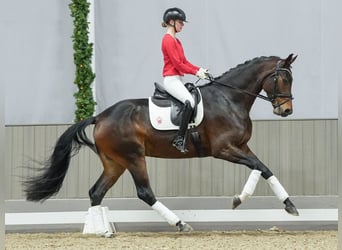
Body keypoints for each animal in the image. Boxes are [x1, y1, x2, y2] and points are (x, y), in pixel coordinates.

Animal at [24, 52, 298, 236]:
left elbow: (262, 168)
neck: (229, 98)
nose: (286, 110)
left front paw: (279, 203)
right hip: (134, 158)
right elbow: (260, 167)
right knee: (144, 192)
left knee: (96, 192)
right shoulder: (224, 149)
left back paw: (103, 231)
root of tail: (100, 116)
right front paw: (247, 200)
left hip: (115, 163)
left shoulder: (241, 147)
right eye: (283, 79)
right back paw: (179, 224)